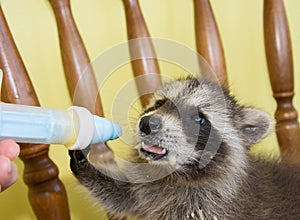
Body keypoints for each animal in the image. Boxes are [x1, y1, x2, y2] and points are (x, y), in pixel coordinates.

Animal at [69, 78, 300, 220]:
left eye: (199, 119)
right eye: (159, 104)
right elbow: (121, 196)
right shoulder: (148, 187)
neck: (177, 174)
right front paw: (87, 166)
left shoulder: (209, 207)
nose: (146, 123)